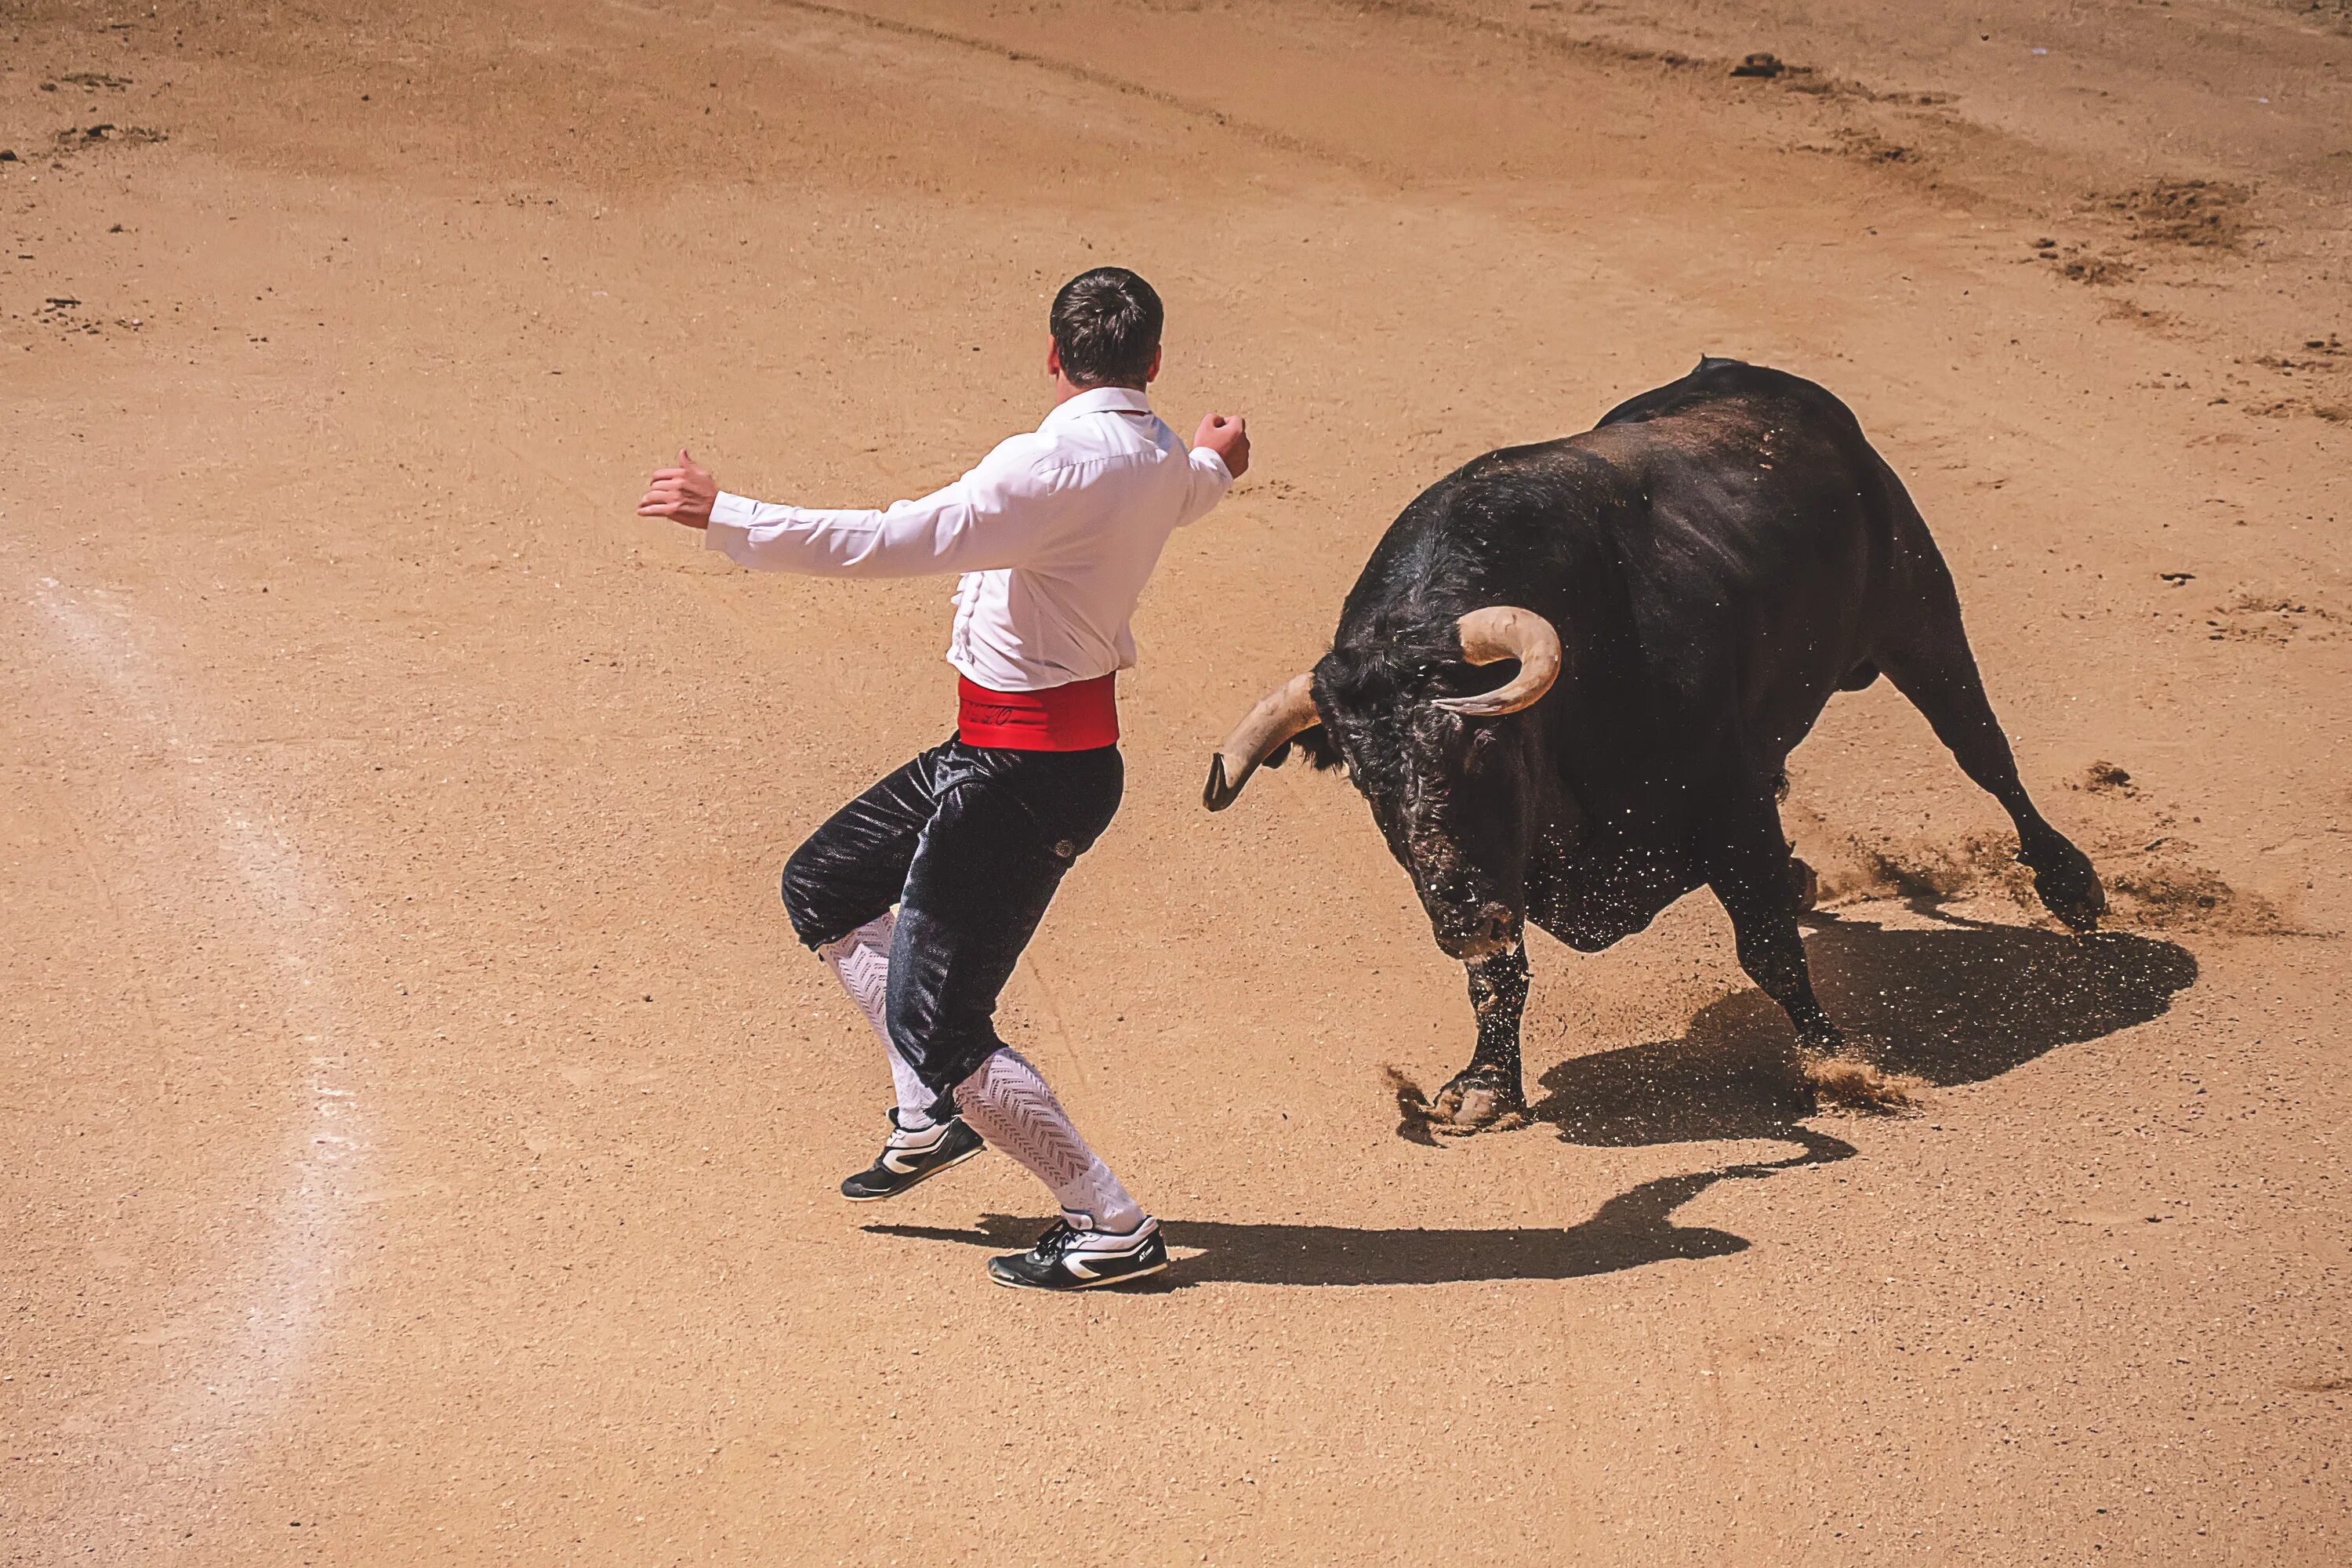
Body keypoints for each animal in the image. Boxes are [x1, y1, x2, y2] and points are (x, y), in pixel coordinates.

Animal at [1204, 361, 2107, 1133]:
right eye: (1365, 781)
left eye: (1481, 742)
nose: (1462, 919)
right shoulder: (1503, 873)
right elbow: (1498, 976)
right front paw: (1485, 1086)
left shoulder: (1729, 805)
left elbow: (1769, 947)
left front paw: (1834, 1060)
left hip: (1920, 618)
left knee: (1986, 756)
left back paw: (2072, 887)